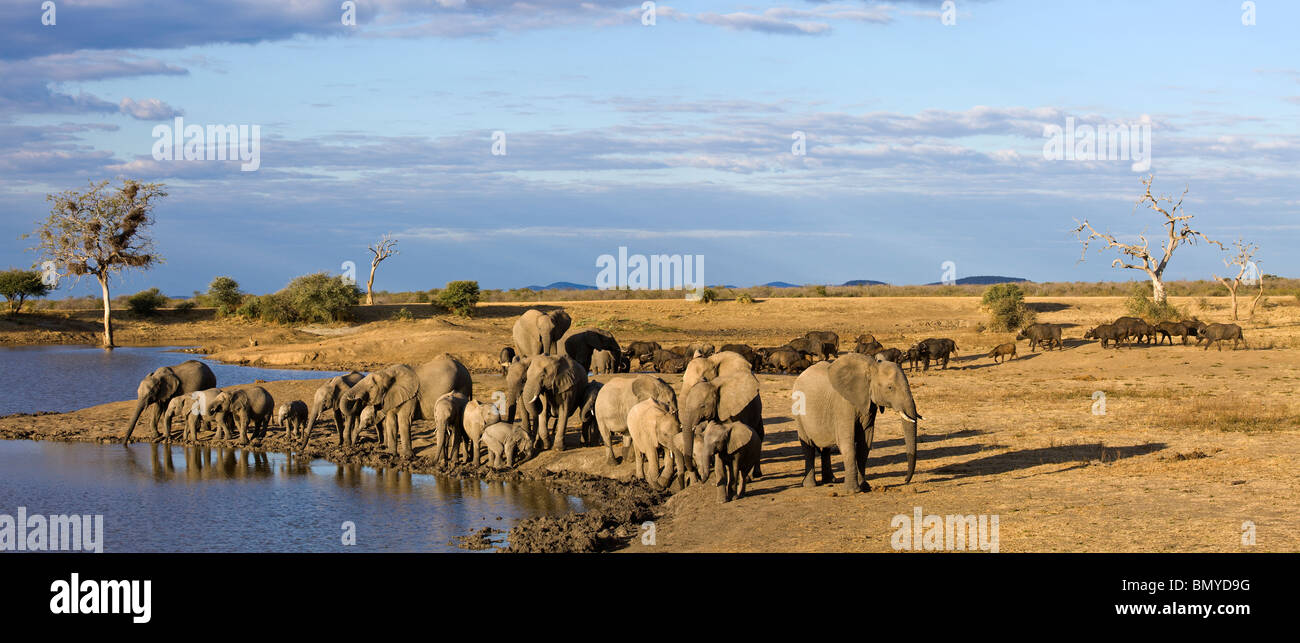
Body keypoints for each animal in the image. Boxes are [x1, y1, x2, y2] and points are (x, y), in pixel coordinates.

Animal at [785, 355, 920, 496]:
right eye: (890, 387)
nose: (905, 480)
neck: (871, 367)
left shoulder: (869, 405)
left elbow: (865, 443)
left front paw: (865, 487)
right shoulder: (843, 404)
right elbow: (847, 442)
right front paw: (853, 491)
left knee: (826, 447)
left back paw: (830, 480)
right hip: (798, 412)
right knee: (808, 446)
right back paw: (810, 485)